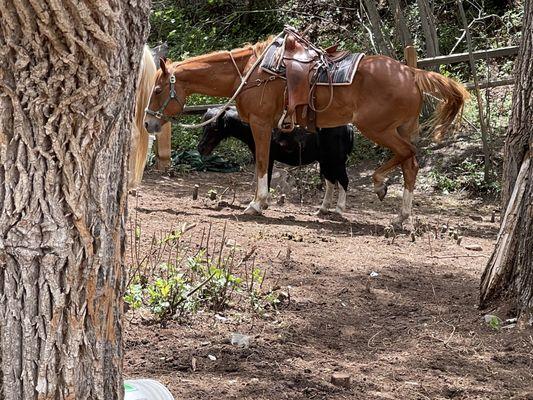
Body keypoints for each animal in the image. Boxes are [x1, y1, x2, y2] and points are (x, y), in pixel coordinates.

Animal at [196, 105, 354, 212]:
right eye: (204, 126)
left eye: (215, 127)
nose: (201, 148)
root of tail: (348, 127)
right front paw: (261, 203)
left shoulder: (267, 157)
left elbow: (264, 178)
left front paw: (257, 206)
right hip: (326, 161)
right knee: (331, 181)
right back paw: (322, 209)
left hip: (336, 161)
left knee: (343, 181)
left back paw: (339, 209)